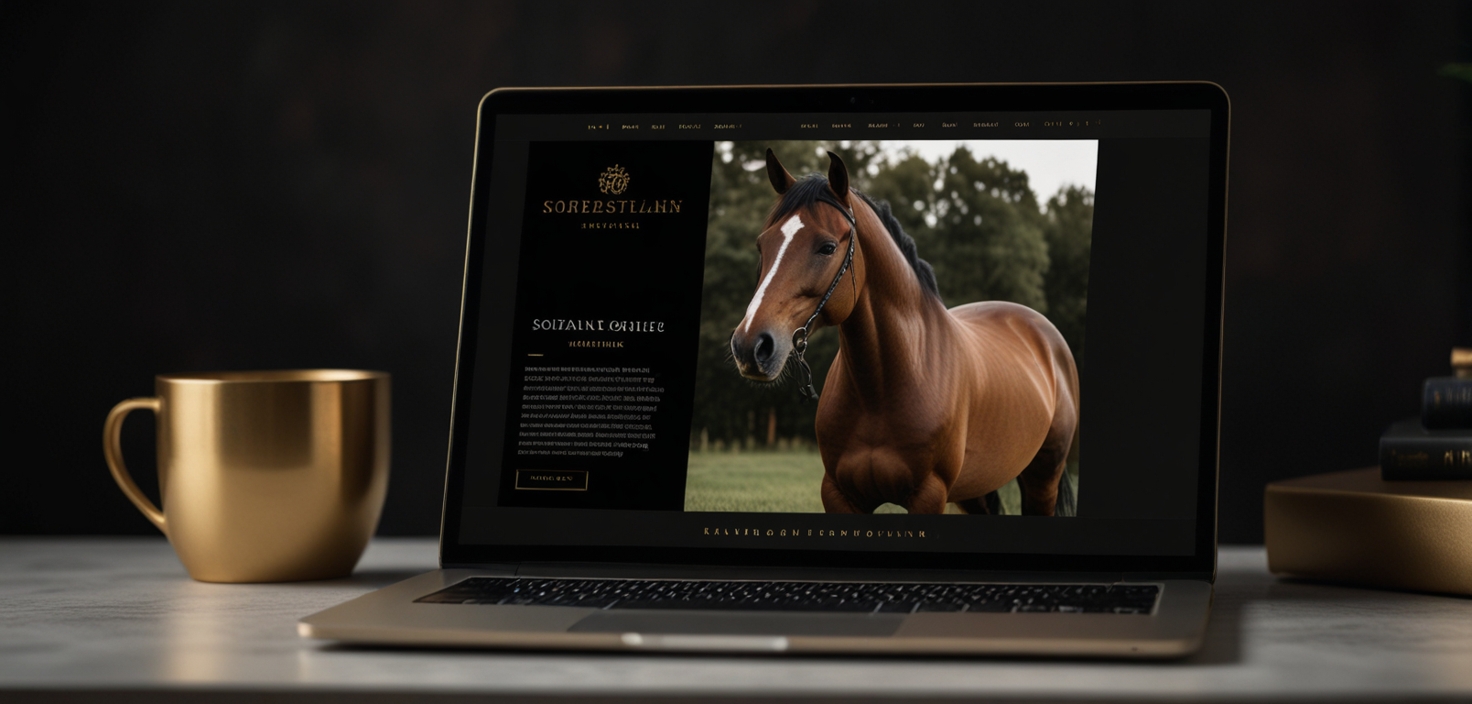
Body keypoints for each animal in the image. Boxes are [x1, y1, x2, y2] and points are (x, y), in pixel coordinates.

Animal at [728, 149, 1079, 516]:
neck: (881, 390)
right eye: (762, 245)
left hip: (1043, 479)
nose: (750, 345)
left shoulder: (928, 495)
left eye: (826, 247)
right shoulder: (839, 495)